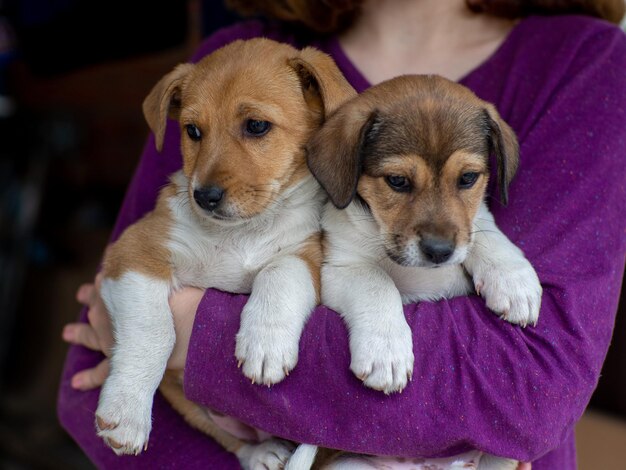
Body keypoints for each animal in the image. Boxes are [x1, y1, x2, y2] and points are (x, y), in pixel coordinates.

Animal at [94, 38, 354, 468]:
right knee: (230, 438)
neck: (240, 234)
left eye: (256, 126)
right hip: (187, 403)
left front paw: (265, 343)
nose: (205, 197)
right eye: (193, 131)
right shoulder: (133, 253)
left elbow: (278, 275)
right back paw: (262, 453)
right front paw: (126, 413)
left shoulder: (306, 255)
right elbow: (155, 330)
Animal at [290, 75, 540, 468]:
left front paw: (515, 281)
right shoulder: (340, 268)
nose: (439, 252)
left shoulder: (468, 229)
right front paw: (386, 351)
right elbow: (377, 283)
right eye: (397, 181)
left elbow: (482, 230)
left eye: (468, 178)